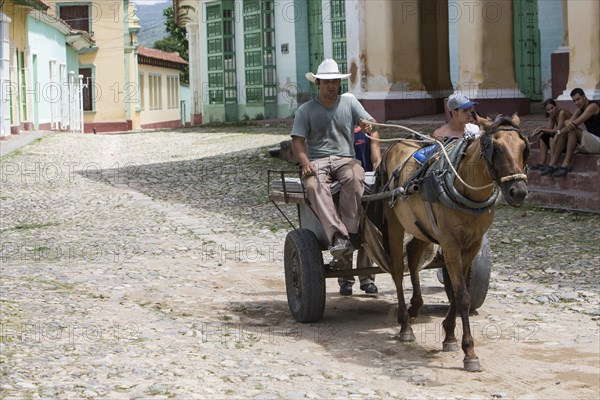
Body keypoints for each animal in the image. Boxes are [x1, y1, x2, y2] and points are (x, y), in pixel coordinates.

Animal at [382, 113, 528, 372]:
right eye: (495, 147)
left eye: (523, 147)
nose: (518, 191)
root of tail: (398, 143)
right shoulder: (450, 244)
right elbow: (461, 296)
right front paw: (469, 352)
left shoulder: (472, 245)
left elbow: (460, 290)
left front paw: (449, 336)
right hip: (394, 222)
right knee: (399, 270)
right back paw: (405, 326)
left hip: (422, 227)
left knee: (413, 254)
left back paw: (415, 307)